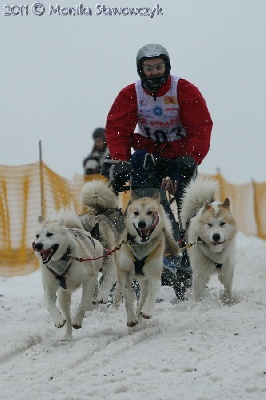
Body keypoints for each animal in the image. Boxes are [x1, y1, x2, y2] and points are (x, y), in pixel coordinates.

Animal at [32, 208, 103, 340]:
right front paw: (58, 319)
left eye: (49, 234)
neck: (61, 261)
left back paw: (78, 319)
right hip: (63, 297)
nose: (37, 245)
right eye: (37, 236)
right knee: (68, 316)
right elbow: (49, 304)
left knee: (89, 297)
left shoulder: (89, 279)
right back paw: (68, 335)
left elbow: (85, 303)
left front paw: (91, 307)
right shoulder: (49, 289)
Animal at [114, 191, 179, 328]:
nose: (142, 223)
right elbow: (127, 294)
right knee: (122, 290)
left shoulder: (154, 276)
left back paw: (140, 312)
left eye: (150, 212)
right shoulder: (123, 272)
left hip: (145, 280)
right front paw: (131, 318)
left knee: (144, 295)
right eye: (136, 212)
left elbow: (152, 293)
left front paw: (147, 311)